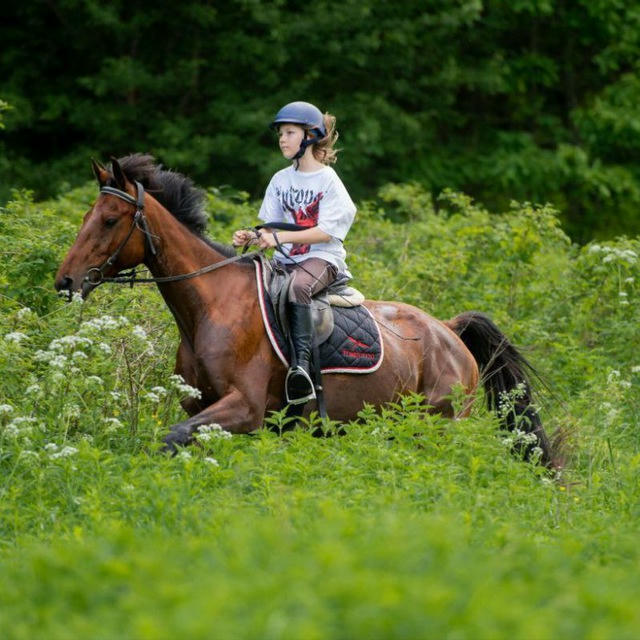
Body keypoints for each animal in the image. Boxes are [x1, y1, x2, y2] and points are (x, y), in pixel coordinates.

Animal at [55, 155, 556, 464]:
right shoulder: (206, 406)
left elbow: (171, 437)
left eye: (109, 220)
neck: (210, 306)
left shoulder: (245, 408)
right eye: (86, 218)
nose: (65, 282)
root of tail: (448, 330)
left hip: (438, 425)